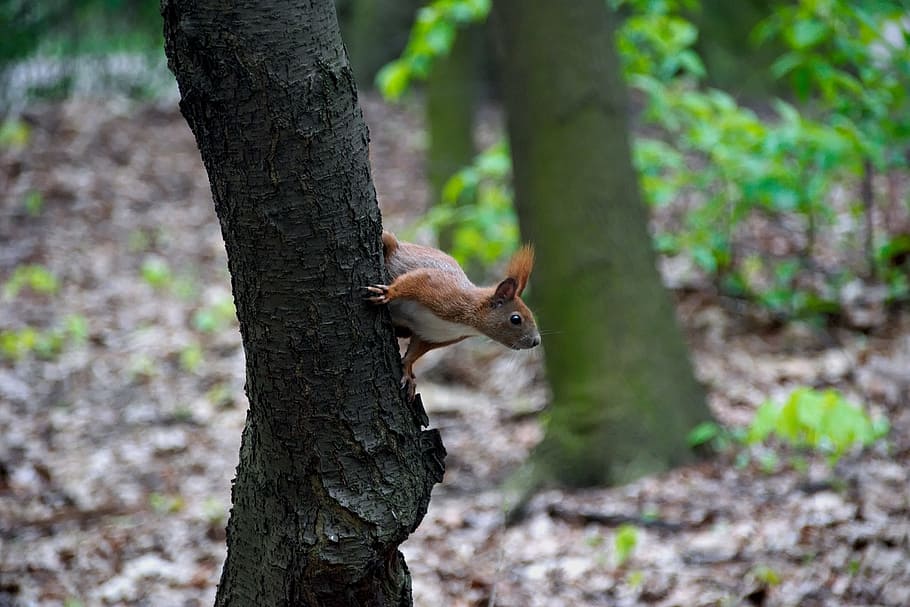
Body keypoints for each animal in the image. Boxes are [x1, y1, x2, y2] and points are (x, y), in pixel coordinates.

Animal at [366, 230, 541, 399]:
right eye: (515, 319)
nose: (536, 341)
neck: (466, 324)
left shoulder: (429, 335)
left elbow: (415, 351)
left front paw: (408, 371)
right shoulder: (442, 291)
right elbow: (414, 281)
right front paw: (389, 293)